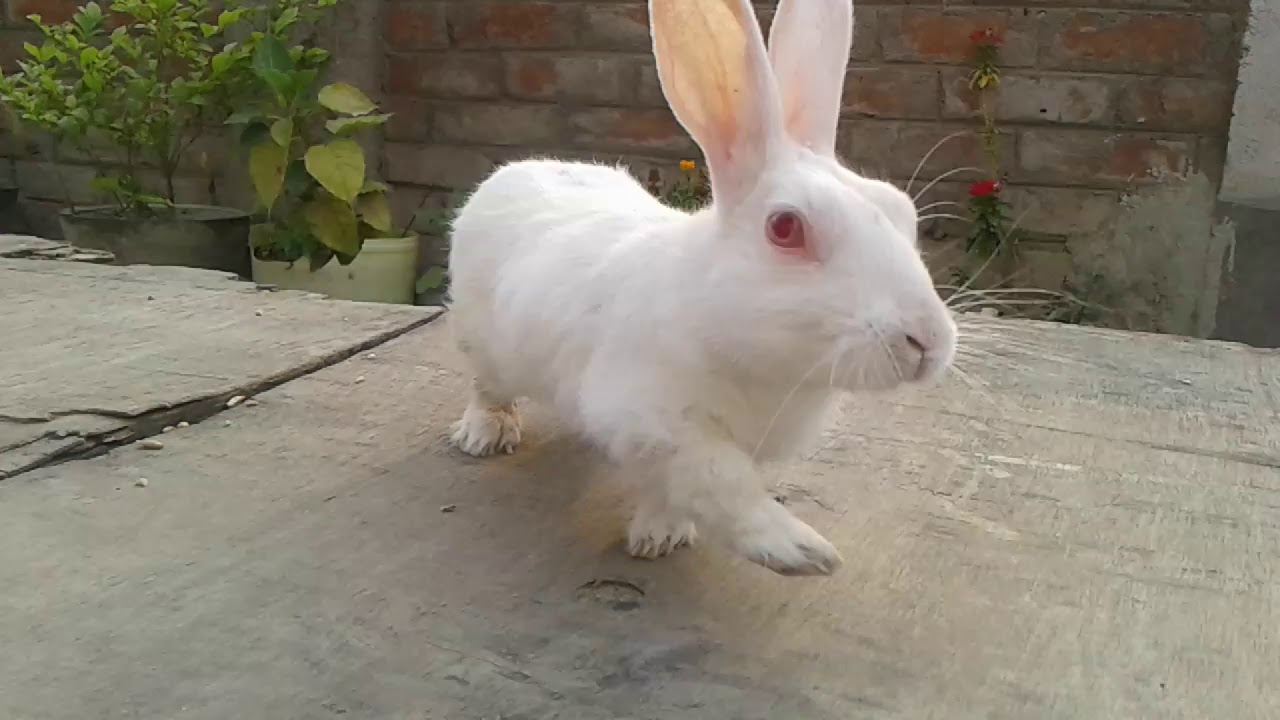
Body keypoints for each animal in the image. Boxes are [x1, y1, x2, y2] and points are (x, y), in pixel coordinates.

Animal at [445, 0, 957, 577]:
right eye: (785, 228)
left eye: (902, 209)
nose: (928, 341)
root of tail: (517, 170)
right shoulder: (654, 422)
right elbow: (720, 486)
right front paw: (801, 551)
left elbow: (679, 491)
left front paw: (662, 534)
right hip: (483, 343)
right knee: (487, 388)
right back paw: (484, 435)